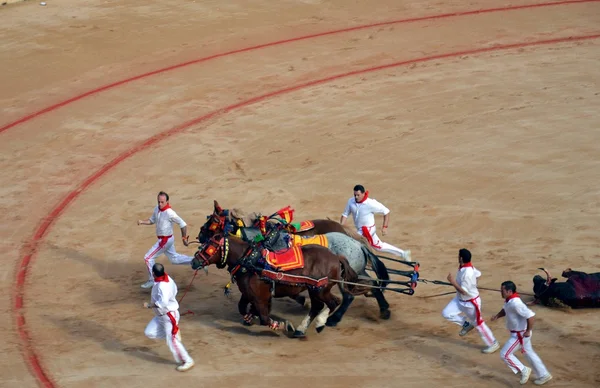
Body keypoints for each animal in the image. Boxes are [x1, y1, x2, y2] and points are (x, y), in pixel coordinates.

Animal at [192, 232, 358, 338]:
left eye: (208, 247)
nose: (194, 262)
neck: (250, 262)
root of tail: (335, 256)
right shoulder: (248, 293)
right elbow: (242, 308)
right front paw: (249, 317)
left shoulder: (260, 297)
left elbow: (265, 319)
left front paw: (285, 326)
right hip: (314, 290)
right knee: (318, 306)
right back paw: (301, 330)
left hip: (320, 289)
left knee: (332, 302)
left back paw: (319, 324)